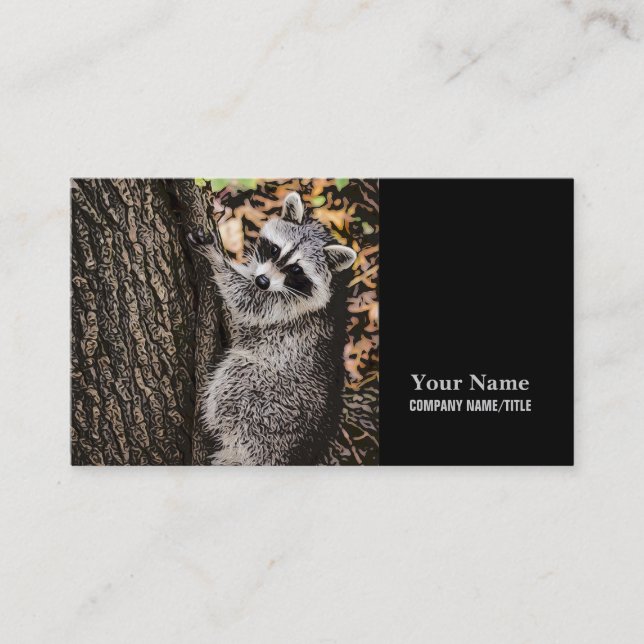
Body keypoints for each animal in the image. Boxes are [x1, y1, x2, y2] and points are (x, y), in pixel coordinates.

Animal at [188, 192, 357, 465]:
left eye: (296, 269)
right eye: (275, 249)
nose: (262, 281)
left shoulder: (287, 308)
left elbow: (246, 299)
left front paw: (216, 258)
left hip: (266, 405)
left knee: (237, 376)